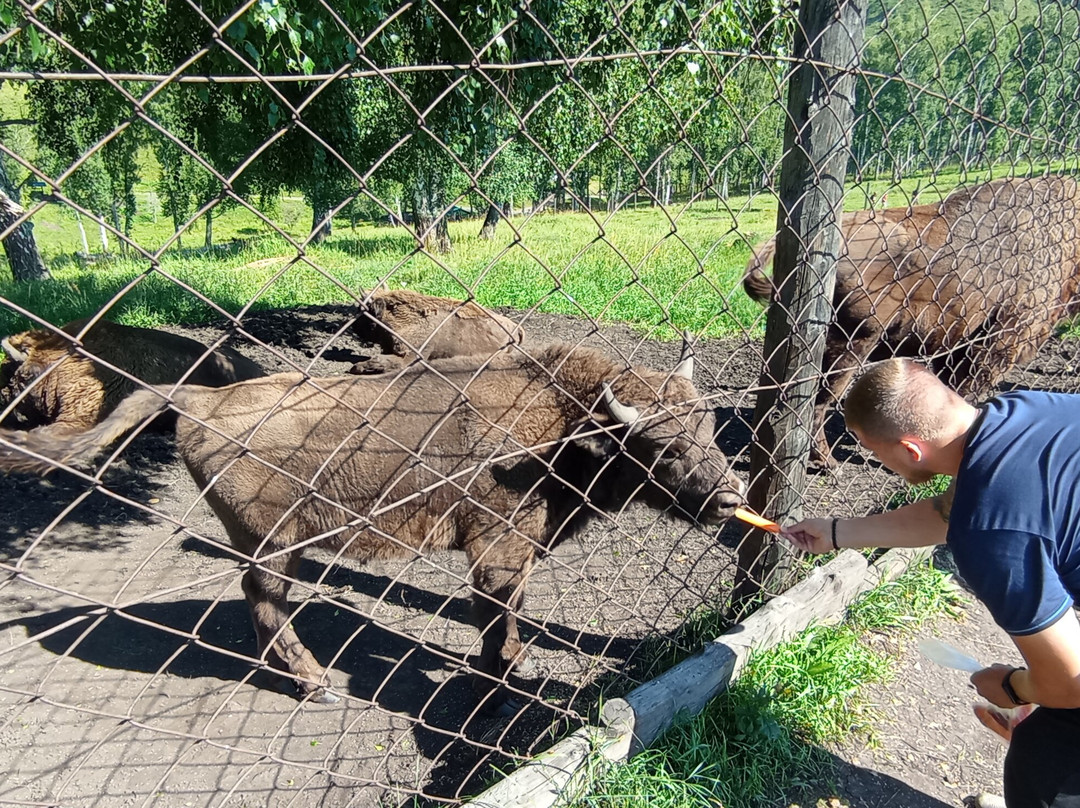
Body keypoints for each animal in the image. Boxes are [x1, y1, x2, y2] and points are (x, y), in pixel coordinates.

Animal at [0, 341, 743, 708]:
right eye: (662, 448)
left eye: (708, 425)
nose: (731, 495)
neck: (567, 420)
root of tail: (201, 398)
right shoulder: (495, 551)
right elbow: (498, 614)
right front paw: (502, 677)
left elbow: (503, 611)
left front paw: (504, 665)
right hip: (274, 546)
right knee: (265, 604)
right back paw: (316, 685)